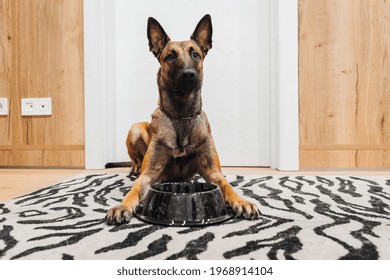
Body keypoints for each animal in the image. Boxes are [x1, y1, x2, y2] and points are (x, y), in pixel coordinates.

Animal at [105, 14, 260, 225]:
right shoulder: (149, 174)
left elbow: (227, 186)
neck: (181, 115)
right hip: (135, 128)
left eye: (195, 54)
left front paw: (242, 201)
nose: (188, 74)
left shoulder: (213, 172)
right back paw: (135, 166)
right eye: (170, 56)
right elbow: (134, 190)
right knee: (135, 160)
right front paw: (122, 206)